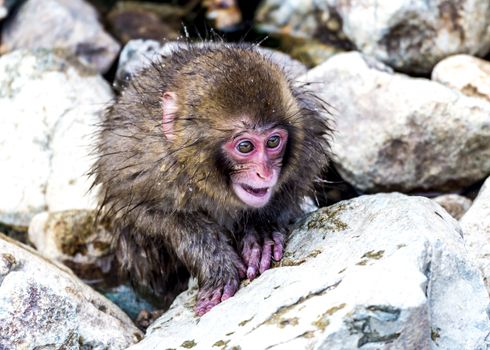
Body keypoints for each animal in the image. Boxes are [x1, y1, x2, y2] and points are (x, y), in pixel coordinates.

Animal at [93, 42, 330, 316]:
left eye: (273, 142)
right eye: (245, 146)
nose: (265, 172)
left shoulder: (307, 137)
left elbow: (297, 180)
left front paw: (262, 229)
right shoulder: (139, 167)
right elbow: (149, 217)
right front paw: (216, 262)